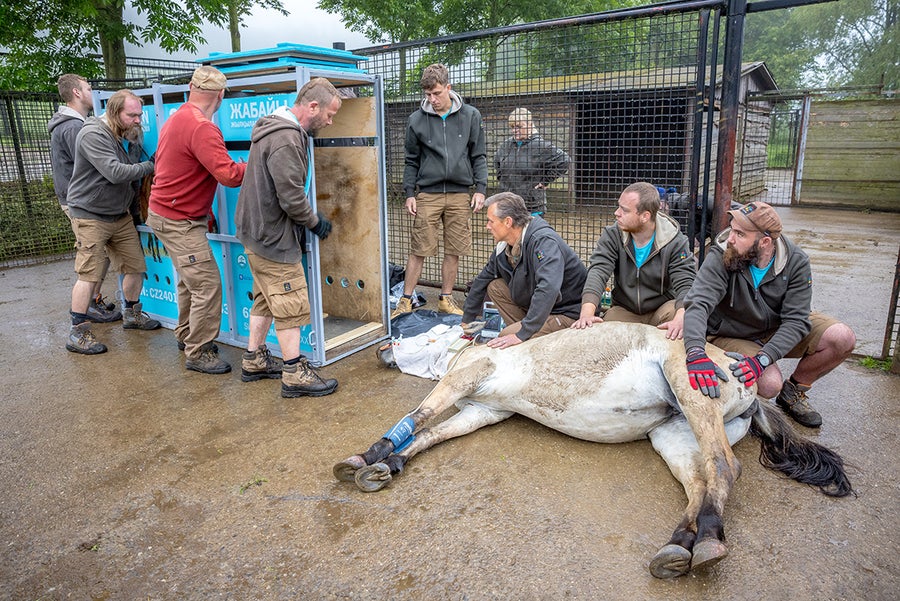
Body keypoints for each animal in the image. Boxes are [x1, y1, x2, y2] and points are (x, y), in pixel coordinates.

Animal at [334, 324, 856, 576]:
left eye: (427, 334)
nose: (383, 349)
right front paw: (391, 462)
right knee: (702, 480)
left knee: (724, 467)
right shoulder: (483, 410)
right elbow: (430, 434)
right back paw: (681, 546)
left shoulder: (467, 378)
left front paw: (367, 458)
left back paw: (705, 542)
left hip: (690, 393)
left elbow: (419, 417)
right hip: (674, 432)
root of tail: (743, 369)